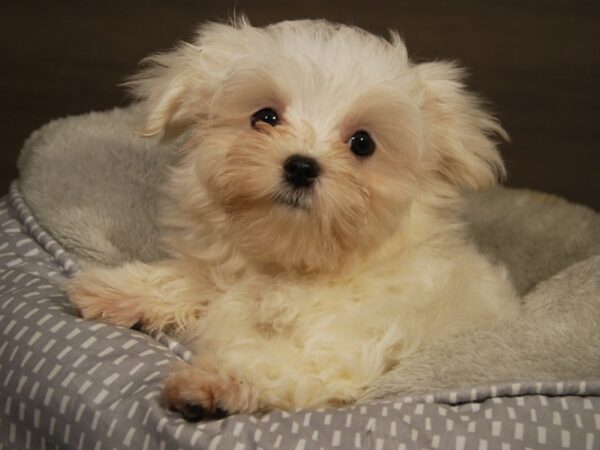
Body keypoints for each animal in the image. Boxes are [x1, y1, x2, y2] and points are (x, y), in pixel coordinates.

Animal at [67, 16, 520, 418]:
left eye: (363, 143)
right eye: (265, 117)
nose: (301, 166)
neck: (291, 266)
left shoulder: (349, 342)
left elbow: (279, 360)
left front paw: (210, 382)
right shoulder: (224, 276)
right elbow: (191, 279)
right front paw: (114, 290)